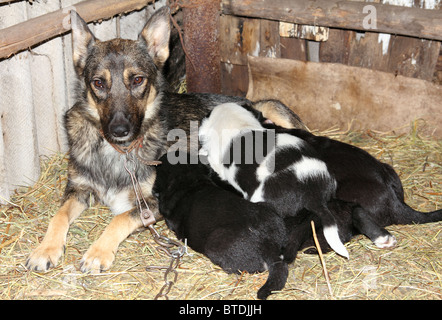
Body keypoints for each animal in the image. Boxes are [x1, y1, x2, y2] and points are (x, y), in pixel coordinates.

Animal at [25, 6, 304, 272]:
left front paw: (98, 252)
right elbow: (59, 215)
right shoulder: (78, 190)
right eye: (98, 83)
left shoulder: (152, 202)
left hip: (272, 107)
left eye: (138, 80)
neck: (118, 153)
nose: (119, 130)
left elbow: (119, 218)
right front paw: (45, 249)